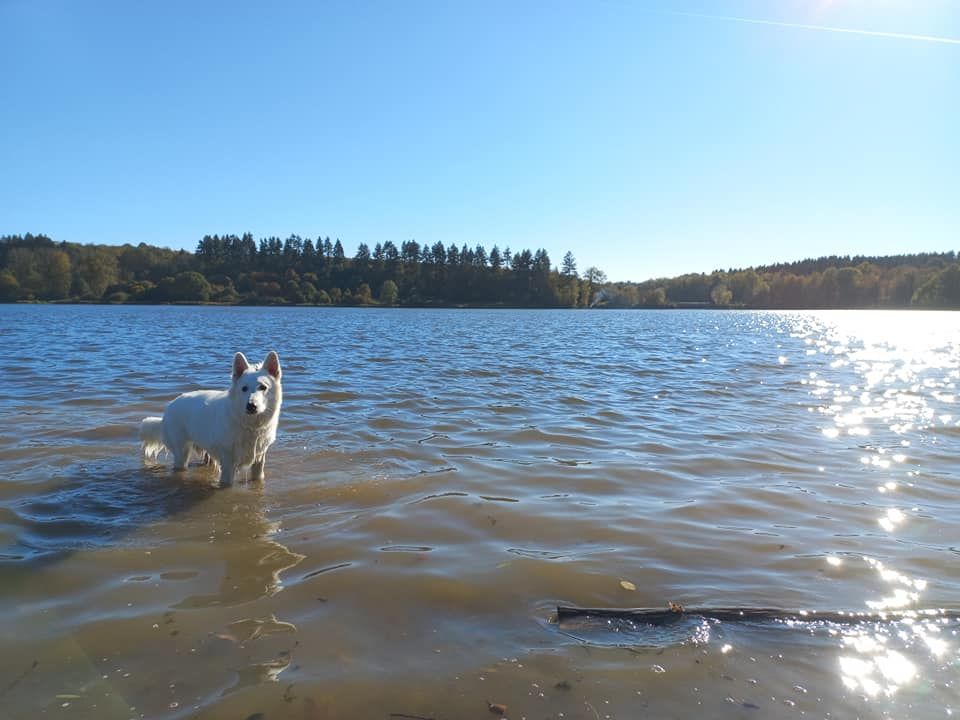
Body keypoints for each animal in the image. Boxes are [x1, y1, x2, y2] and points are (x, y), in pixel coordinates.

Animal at [140, 351, 282, 486]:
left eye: (263, 387)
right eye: (244, 388)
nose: (251, 406)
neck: (250, 425)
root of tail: (170, 406)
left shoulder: (259, 459)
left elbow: (258, 478)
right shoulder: (228, 465)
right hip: (182, 453)